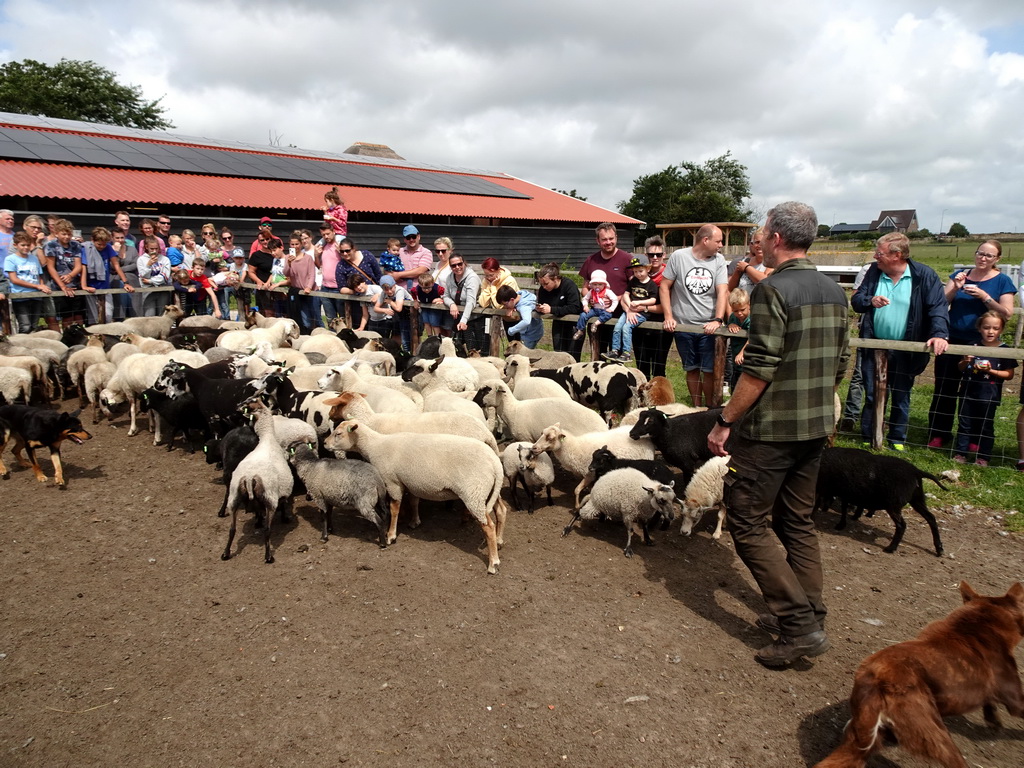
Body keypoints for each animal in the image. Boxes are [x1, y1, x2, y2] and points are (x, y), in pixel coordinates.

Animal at [220, 403, 292, 565]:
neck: (267, 438)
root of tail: (249, 478)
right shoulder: (281, 493)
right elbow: (284, 504)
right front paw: (285, 518)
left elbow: (257, 511)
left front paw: (257, 521)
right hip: (270, 499)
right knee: (267, 530)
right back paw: (268, 556)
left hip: (233, 499)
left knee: (232, 529)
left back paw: (226, 553)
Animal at [323, 421, 507, 577]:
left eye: (338, 433)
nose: (324, 443)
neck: (375, 446)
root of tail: (495, 463)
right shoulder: (411, 482)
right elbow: (413, 502)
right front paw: (414, 522)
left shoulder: (393, 482)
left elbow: (394, 508)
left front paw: (391, 535)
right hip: (487, 491)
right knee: (501, 510)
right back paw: (499, 541)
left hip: (474, 493)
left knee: (488, 527)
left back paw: (493, 563)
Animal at [815, 581, 1024, 768]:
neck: (978, 627)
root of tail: (875, 682)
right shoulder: (1014, 699)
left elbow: (989, 702)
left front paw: (994, 721)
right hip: (935, 734)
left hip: (864, 737)